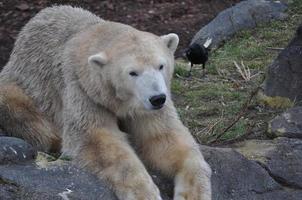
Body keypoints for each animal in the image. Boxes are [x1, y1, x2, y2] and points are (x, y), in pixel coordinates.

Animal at [0, 5, 212, 199]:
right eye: (132, 72)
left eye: (161, 65)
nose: (157, 98)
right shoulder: (83, 89)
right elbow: (96, 138)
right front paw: (145, 193)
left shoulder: (148, 107)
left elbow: (163, 137)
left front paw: (194, 192)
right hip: (22, 89)